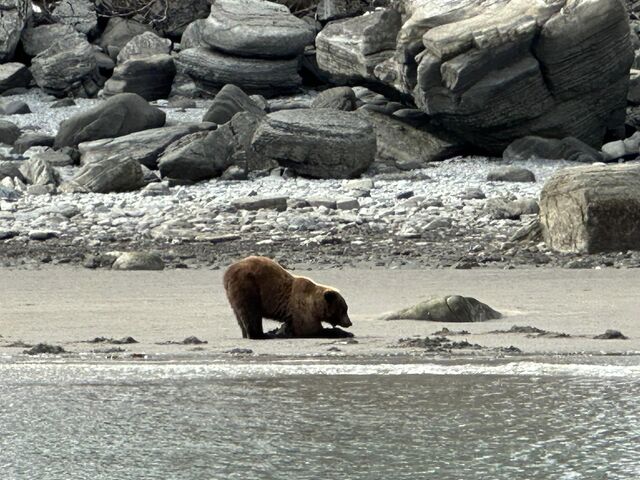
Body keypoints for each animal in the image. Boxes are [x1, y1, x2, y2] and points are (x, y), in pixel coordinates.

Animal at [222, 256, 352, 340]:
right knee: (251, 312)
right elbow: (310, 329)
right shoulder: (302, 309)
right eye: (343, 309)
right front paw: (344, 333)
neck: (316, 306)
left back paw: (247, 334)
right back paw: (262, 335)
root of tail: (227, 273)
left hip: (233, 294)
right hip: (247, 285)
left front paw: (283, 331)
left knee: (239, 315)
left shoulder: (293, 314)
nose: (349, 323)